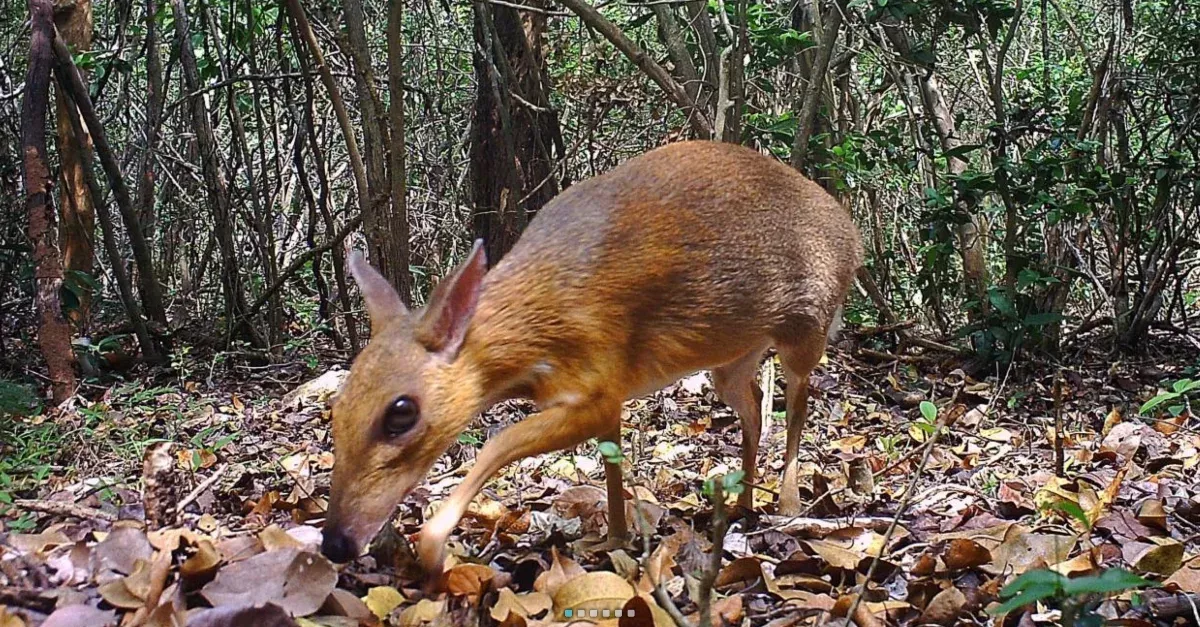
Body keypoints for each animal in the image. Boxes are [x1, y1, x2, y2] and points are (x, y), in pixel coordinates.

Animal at [319, 140, 863, 575]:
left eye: (401, 413)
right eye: (336, 408)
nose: (334, 542)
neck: (539, 322)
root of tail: (852, 230)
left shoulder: (598, 380)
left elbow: (500, 443)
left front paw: (433, 547)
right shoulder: (607, 393)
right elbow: (610, 459)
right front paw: (614, 538)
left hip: (807, 325)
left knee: (797, 405)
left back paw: (787, 503)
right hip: (731, 357)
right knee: (751, 405)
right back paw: (742, 503)